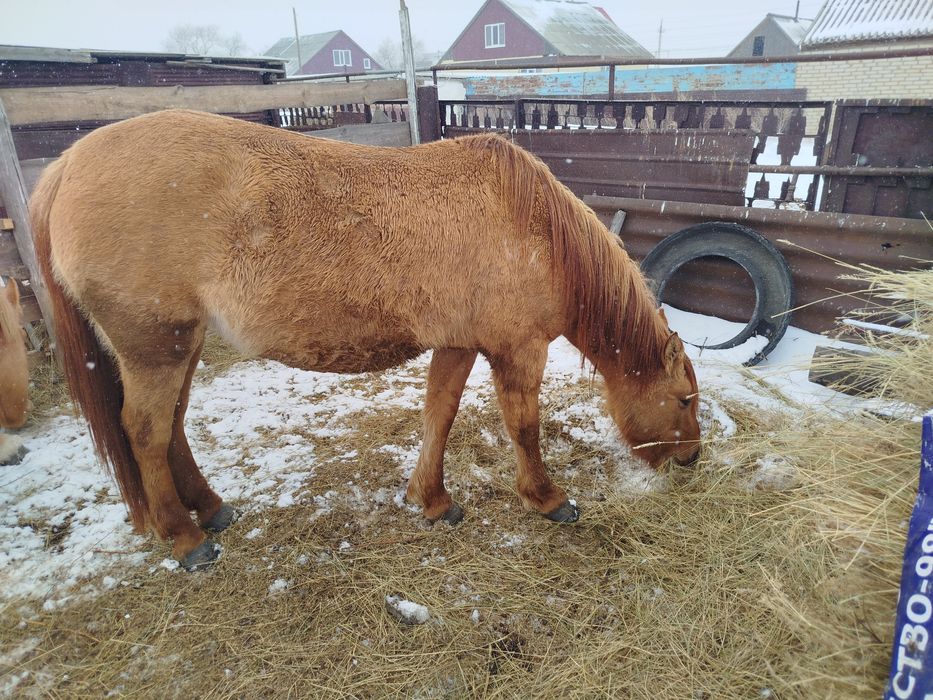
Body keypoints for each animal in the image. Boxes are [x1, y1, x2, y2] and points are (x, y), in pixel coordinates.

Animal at [29, 109, 700, 569]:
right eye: (684, 400)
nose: (692, 458)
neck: (528, 223)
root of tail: (66, 168)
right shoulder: (518, 349)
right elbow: (524, 428)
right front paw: (547, 498)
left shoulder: (458, 343)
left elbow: (438, 414)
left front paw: (432, 501)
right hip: (154, 347)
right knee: (144, 431)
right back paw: (187, 538)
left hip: (182, 346)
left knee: (171, 425)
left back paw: (212, 509)